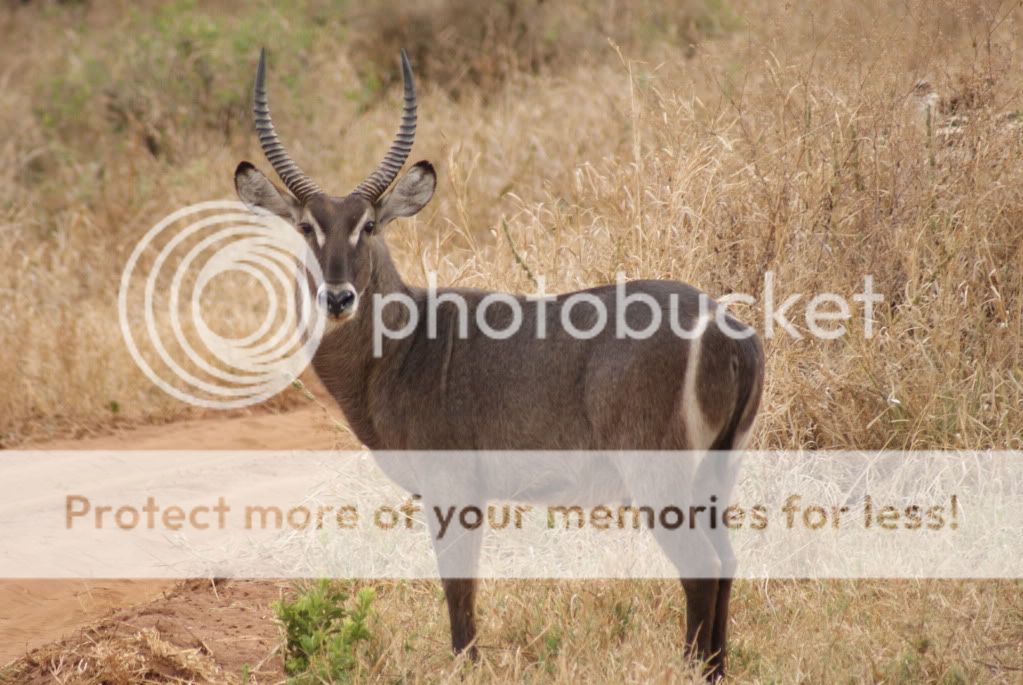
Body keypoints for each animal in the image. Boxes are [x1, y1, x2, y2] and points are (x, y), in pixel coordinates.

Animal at [234, 48, 764, 680]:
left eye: (368, 225)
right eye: (306, 228)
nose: (338, 297)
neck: (403, 346)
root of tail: (730, 331)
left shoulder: (451, 486)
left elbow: (458, 588)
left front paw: (466, 665)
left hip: (658, 475)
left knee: (701, 567)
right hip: (717, 475)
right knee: (728, 561)